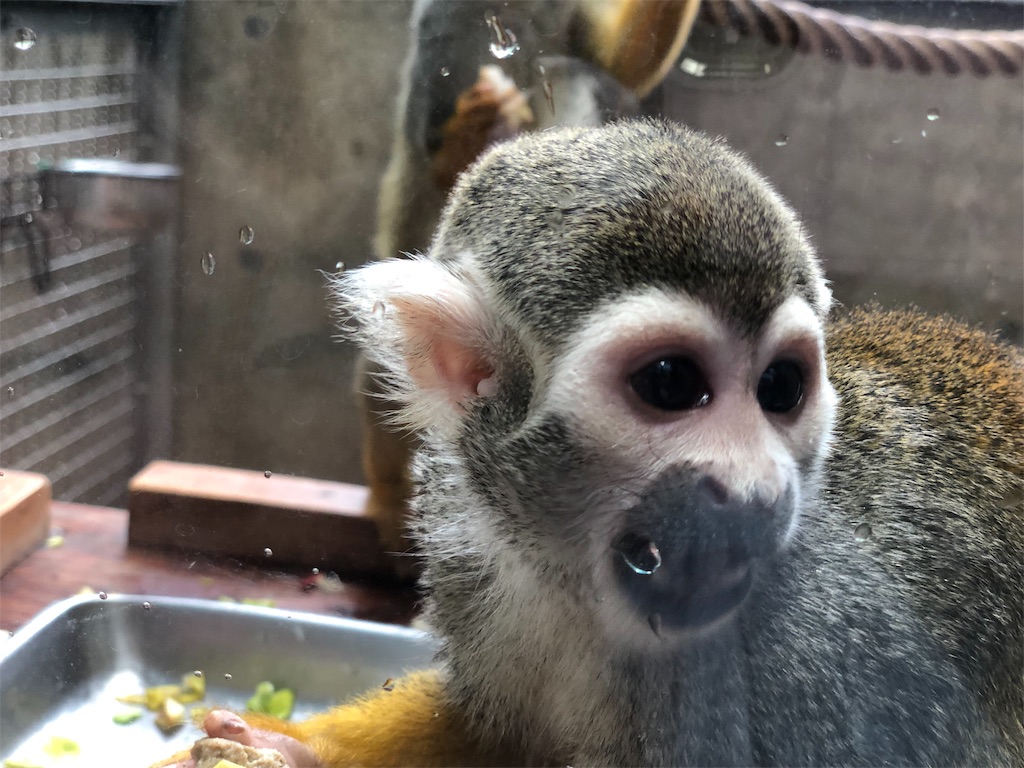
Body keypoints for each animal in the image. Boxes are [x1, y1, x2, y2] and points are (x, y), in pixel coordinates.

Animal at [169, 118, 1024, 765]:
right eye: (672, 383)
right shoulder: (473, 539)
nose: (754, 491)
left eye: (780, 390)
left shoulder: (837, 652)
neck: (581, 589)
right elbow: (486, 733)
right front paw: (290, 747)